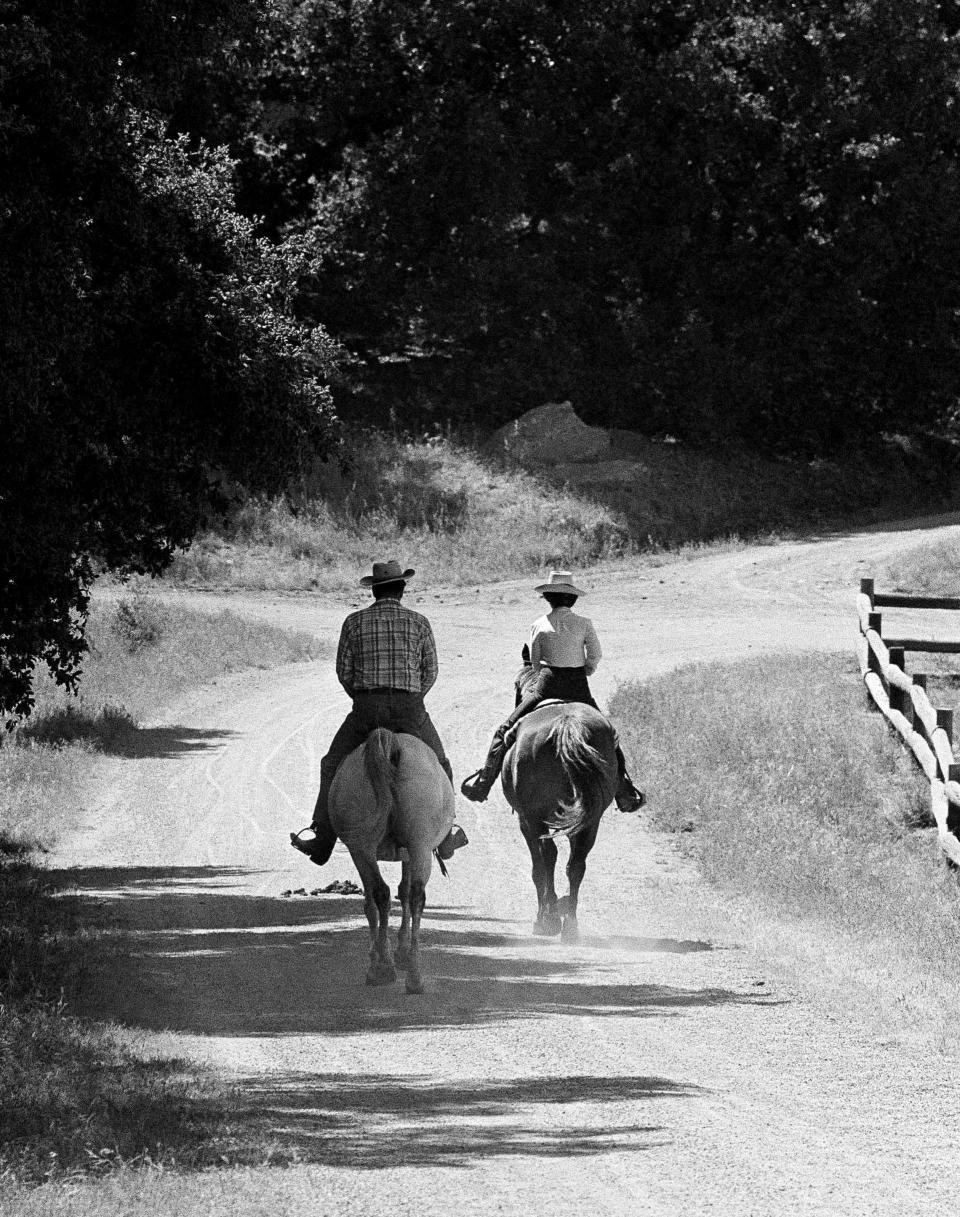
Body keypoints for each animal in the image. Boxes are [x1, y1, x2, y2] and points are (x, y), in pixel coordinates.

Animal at [328, 725, 452, 993]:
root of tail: (391, 741)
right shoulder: (407, 853)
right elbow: (401, 892)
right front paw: (399, 952)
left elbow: (378, 900)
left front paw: (386, 953)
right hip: (418, 844)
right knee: (412, 896)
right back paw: (410, 974)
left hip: (366, 848)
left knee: (385, 893)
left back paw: (383, 968)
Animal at [498, 705, 618, 939]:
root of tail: (566, 724)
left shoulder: (526, 822)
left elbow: (539, 868)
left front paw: (545, 915)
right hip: (590, 821)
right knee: (576, 865)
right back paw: (570, 925)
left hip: (534, 819)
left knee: (547, 857)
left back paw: (548, 918)